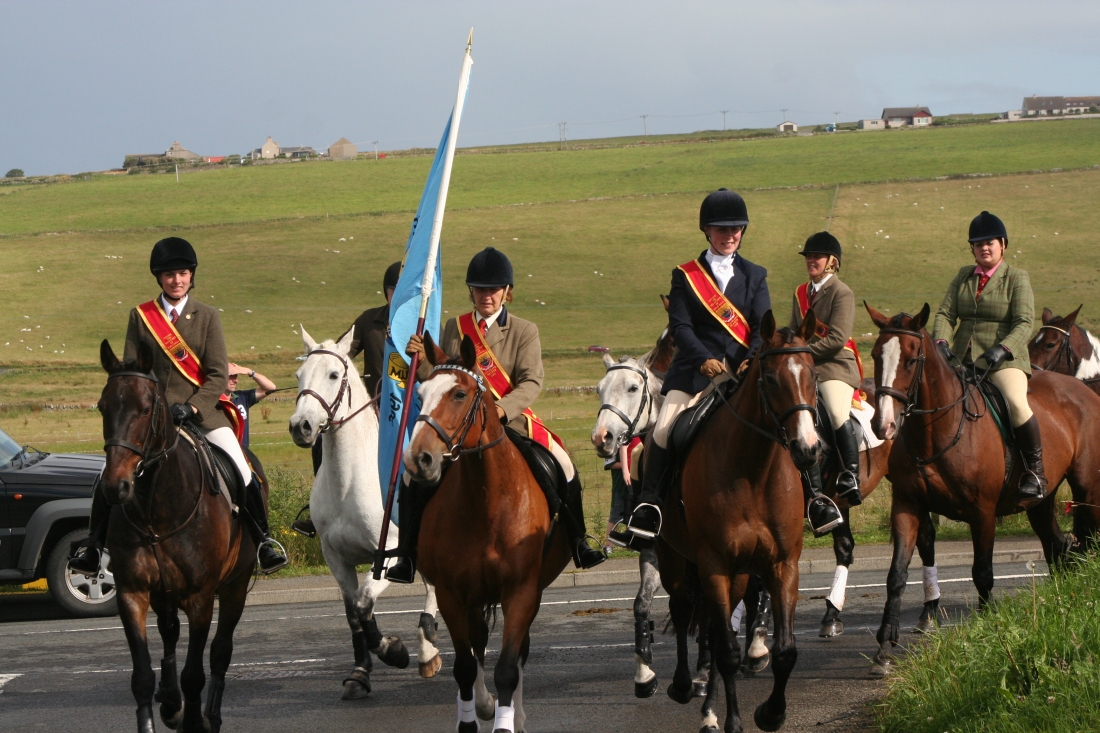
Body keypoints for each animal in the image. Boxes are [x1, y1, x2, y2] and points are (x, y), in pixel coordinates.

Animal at [98, 339, 255, 733]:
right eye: (103, 407)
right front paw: (162, 710)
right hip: (164, 595)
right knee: (169, 635)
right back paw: (170, 702)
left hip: (235, 587)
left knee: (220, 652)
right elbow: (141, 676)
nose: (115, 486)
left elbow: (195, 674)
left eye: (144, 409)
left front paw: (196, 719)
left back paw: (209, 714)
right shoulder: (132, 593)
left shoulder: (202, 597)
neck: (156, 505)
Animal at [288, 326, 442, 699]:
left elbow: (363, 603)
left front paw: (393, 651)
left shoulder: (389, 557)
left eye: (333, 374)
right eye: (299, 375)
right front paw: (360, 673)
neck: (349, 480)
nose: (300, 426)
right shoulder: (336, 559)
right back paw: (427, 648)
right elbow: (353, 612)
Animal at [404, 333, 575, 733]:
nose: (419, 459)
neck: (487, 499)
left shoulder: (521, 592)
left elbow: (509, 667)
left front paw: (506, 719)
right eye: (420, 393)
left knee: (518, 650)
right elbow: (466, 666)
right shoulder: (452, 594)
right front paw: (474, 714)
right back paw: (483, 705)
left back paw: (516, 714)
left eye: (459, 394)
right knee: (478, 642)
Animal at [664, 310, 823, 733]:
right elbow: (727, 653)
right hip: (676, 557)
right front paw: (735, 720)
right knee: (683, 610)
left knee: (711, 631)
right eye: (771, 379)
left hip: (735, 576)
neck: (753, 470)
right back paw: (685, 688)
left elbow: (785, 651)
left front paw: (771, 713)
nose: (808, 449)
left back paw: (709, 710)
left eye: (813, 375)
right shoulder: (715, 566)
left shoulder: (783, 565)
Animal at [866, 303, 1100, 674]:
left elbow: (983, 573)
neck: (936, 428)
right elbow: (896, 576)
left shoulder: (983, 512)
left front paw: (989, 634)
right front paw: (885, 649)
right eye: (876, 355)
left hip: (1088, 492)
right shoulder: (907, 506)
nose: (883, 425)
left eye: (912, 360)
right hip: (1041, 503)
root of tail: (1083, 389)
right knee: (1057, 547)